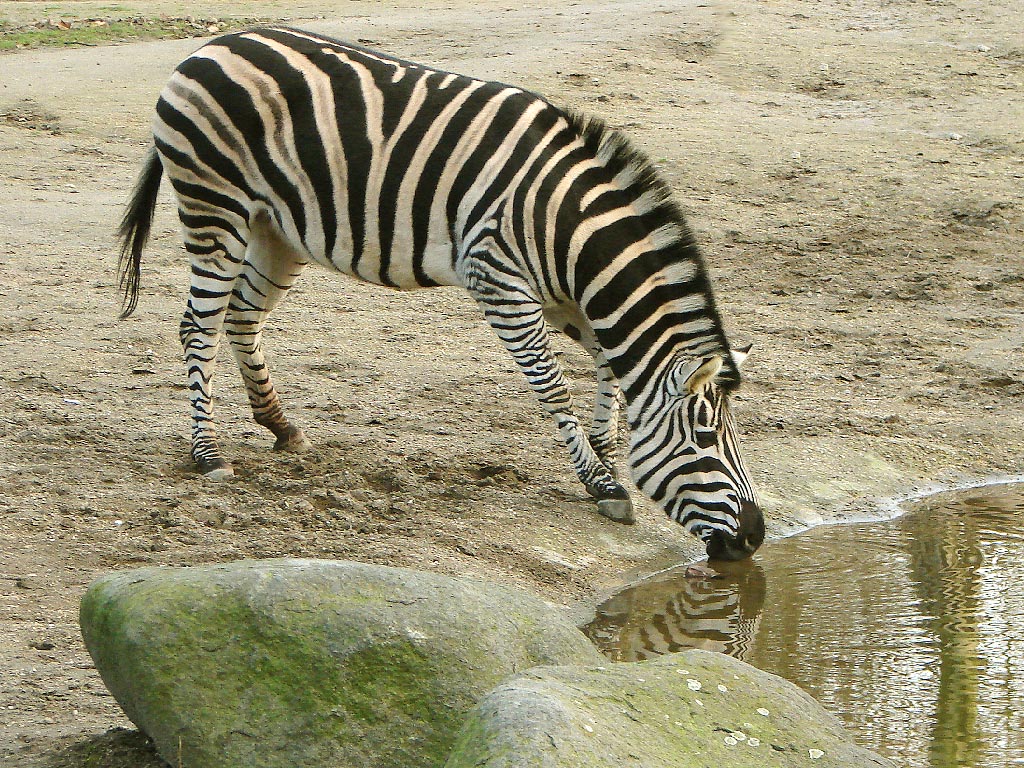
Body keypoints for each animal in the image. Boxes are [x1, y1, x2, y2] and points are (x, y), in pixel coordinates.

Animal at [117, 26, 765, 560]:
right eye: (706, 437)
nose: (757, 537)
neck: (568, 230)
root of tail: (211, 44)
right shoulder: (500, 281)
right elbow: (553, 387)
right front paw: (600, 481)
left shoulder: (570, 301)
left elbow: (609, 365)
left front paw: (605, 451)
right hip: (215, 208)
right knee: (197, 326)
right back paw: (207, 453)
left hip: (277, 228)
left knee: (241, 316)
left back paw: (280, 425)